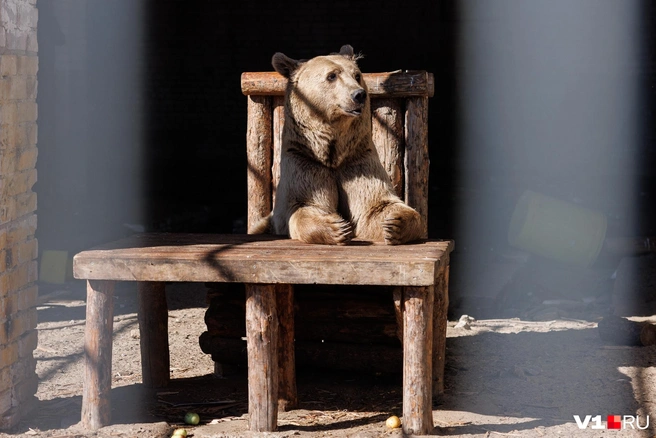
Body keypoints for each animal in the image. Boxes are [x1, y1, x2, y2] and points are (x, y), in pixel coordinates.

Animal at [257, 45, 424, 245]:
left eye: (357, 75)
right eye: (332, 76)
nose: (359, 94)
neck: (333, 152)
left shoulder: (357, 160)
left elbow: (375, 203)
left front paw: (395, 223)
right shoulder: (304, 161)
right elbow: (304, 204)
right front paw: (337, 227)